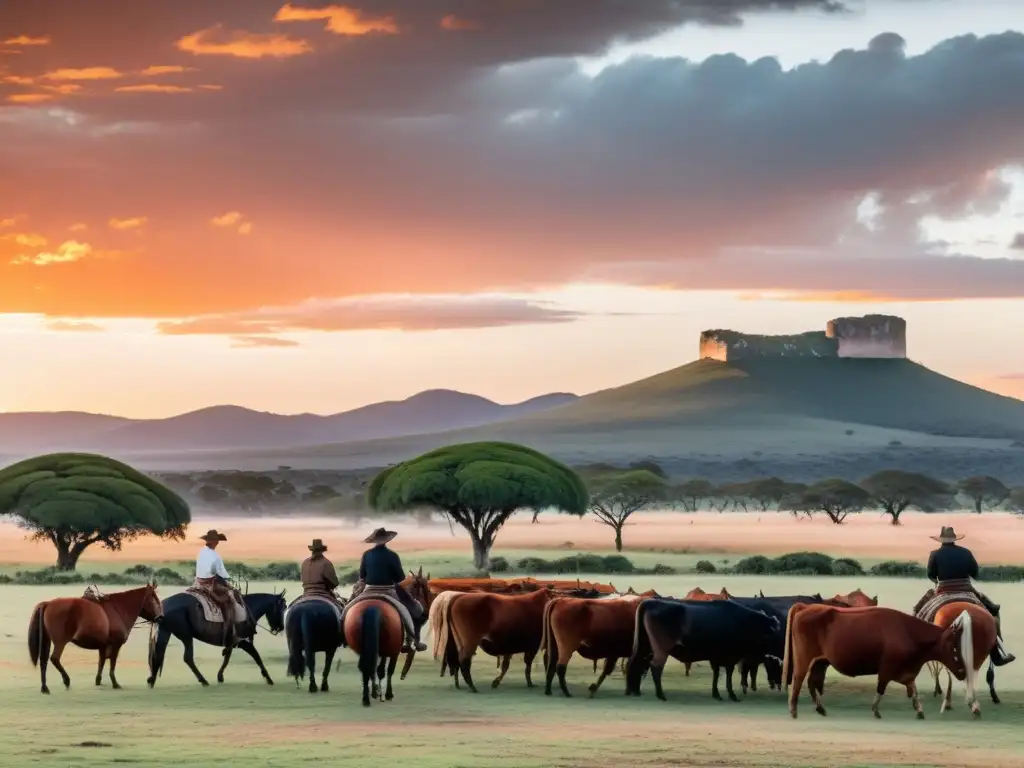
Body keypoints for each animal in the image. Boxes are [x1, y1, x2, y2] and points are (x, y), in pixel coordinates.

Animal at [27, 581, 161, 696]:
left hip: (46, 641)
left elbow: (101, 662)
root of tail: (48, 603)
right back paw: (66, 680)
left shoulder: (103, 646)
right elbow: (112, 663)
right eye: (153, 599)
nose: (160, 617)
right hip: (60, 642)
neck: (118, 609)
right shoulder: (116, 645)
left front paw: (98, 681)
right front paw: (115, 683)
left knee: (43, 661)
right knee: (54, 658)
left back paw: (45, 688)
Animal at [146, 589, 286, 692]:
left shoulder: (232, 642)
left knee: (159, 654)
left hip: (166, 632)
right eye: (283, 607)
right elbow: (256, 656)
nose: (280, 627)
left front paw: (220, 677)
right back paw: (203, 681)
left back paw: (151, 680)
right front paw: (268, 678)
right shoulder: (242, 641)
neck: (247, 609)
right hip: (186, 635)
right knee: (187, 658)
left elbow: (227, 657)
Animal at [622, 602, 782, 704]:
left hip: (645, 646)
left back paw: (633, 690)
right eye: (775, 635)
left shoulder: (716, 658)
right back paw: (660, 695)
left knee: (635, 664)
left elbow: (716, 674)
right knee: (655, 667)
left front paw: (716, 694)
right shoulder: (730, 657)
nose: (780, 654)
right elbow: (728, 675)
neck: (745, 622)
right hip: (661, 649)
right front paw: (732, 695)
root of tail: (651, 602)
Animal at [782, 606, 966, 720]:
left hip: (820, 662)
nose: (963, 671)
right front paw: (875, 710)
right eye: (954, 647)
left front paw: (920, 711)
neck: (909, 632)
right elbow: (881, 688)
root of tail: (807, 607)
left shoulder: (906, 672)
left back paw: (820, 709)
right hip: (804, 659)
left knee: (811, 682)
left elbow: (914, 690)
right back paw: (793, 711)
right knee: (798, 680)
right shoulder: (886, 669)